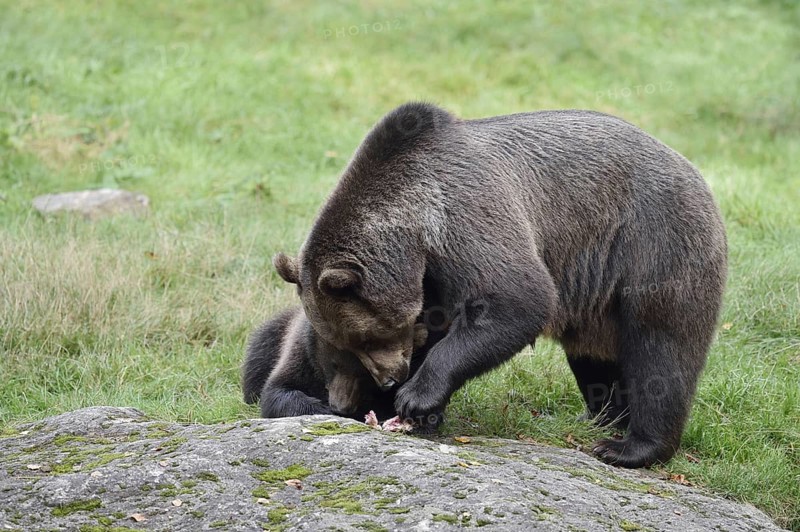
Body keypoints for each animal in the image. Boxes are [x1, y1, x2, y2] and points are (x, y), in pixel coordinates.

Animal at [242, 306, 429, 420]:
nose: (340, 407)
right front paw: (320, 409)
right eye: (334, 364)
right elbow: (277, 390)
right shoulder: (301, 355)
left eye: (366, 375)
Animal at [273, 102, 727, 468]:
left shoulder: (463, 212)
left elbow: (515, 298)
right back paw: (598, 417)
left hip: (652, 242)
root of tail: (693, 169)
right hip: (597, 300)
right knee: (594, 358)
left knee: (660, 347)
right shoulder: (432, 277)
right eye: (346, 346)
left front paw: (416, 398)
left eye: (365, 338)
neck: (416, 233)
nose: (390, 378)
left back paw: (628, 447)